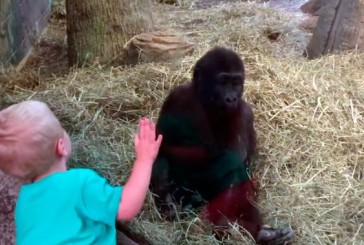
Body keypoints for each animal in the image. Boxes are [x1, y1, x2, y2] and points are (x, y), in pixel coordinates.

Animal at [151, 47, 296, 244]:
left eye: (236, 83)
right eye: (223, 81)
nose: (231, 98)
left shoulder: (243, 112)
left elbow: (232, 162)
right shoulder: (175, 97)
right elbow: (161, 145)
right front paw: (166, 199)